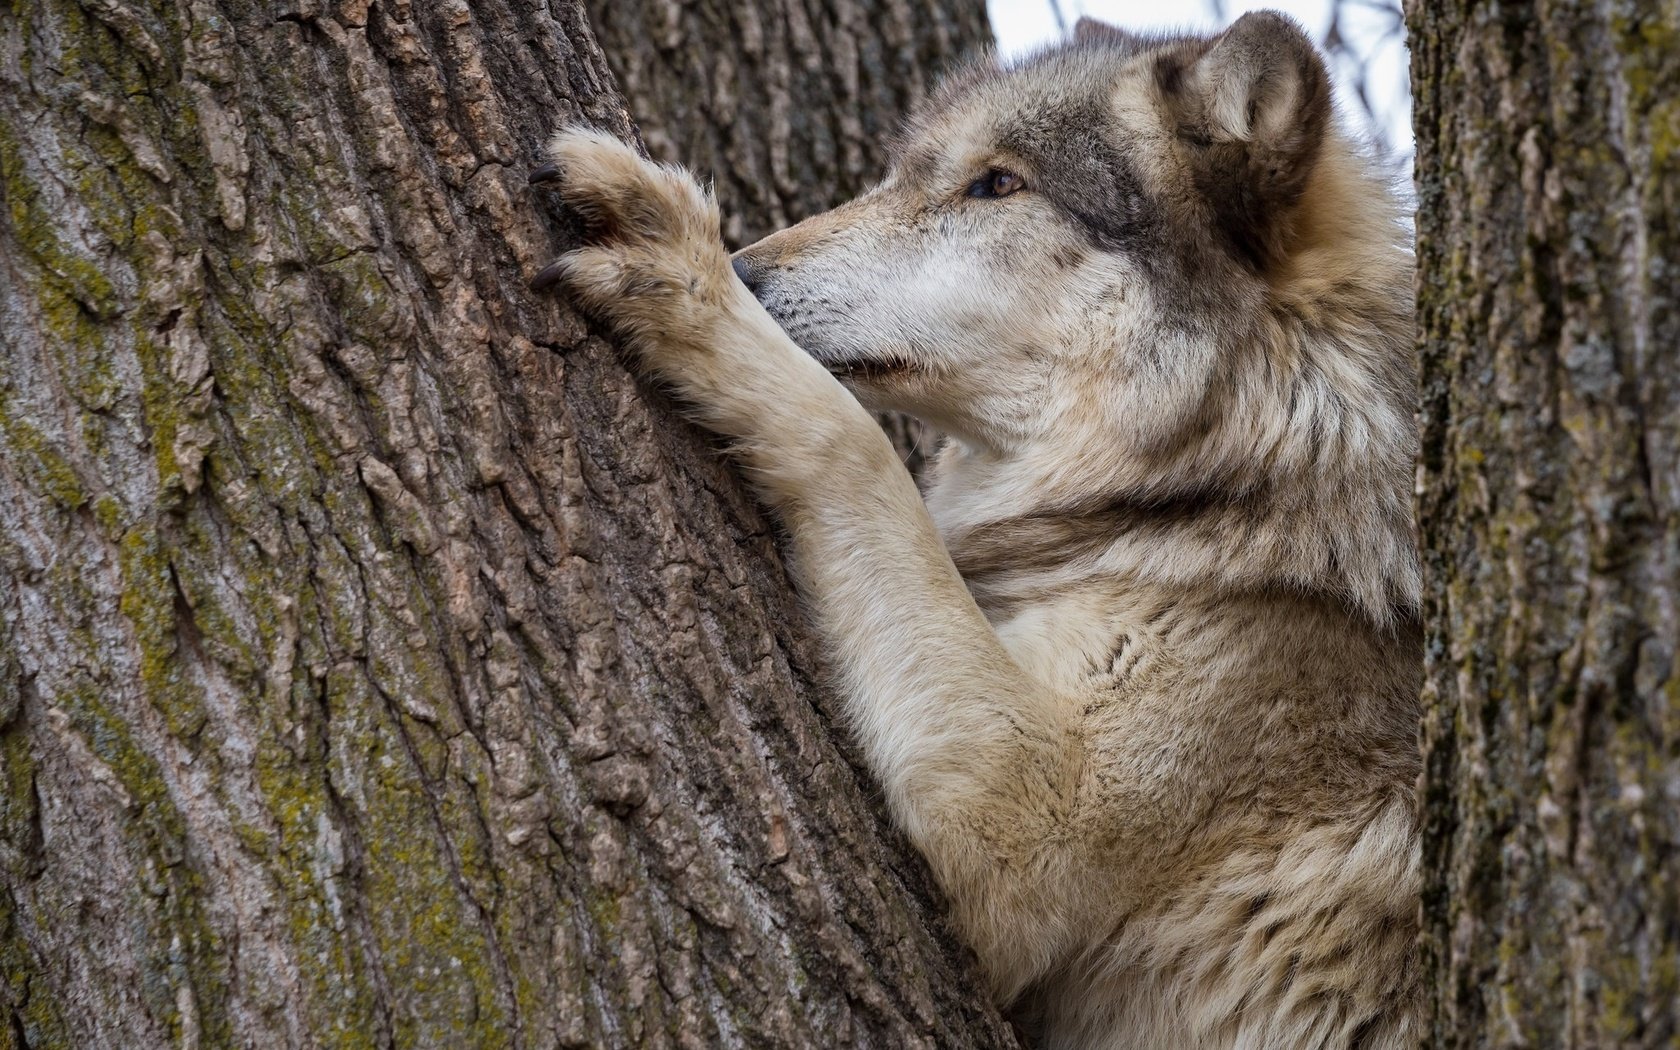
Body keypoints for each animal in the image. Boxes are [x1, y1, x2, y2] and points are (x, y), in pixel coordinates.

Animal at [530, 12, 1424, 1041]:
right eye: (900, 175)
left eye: (996, 184)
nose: (747, 269)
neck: (1237, 472)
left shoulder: (1023, 814)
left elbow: (855, 444)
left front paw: (685, 270)